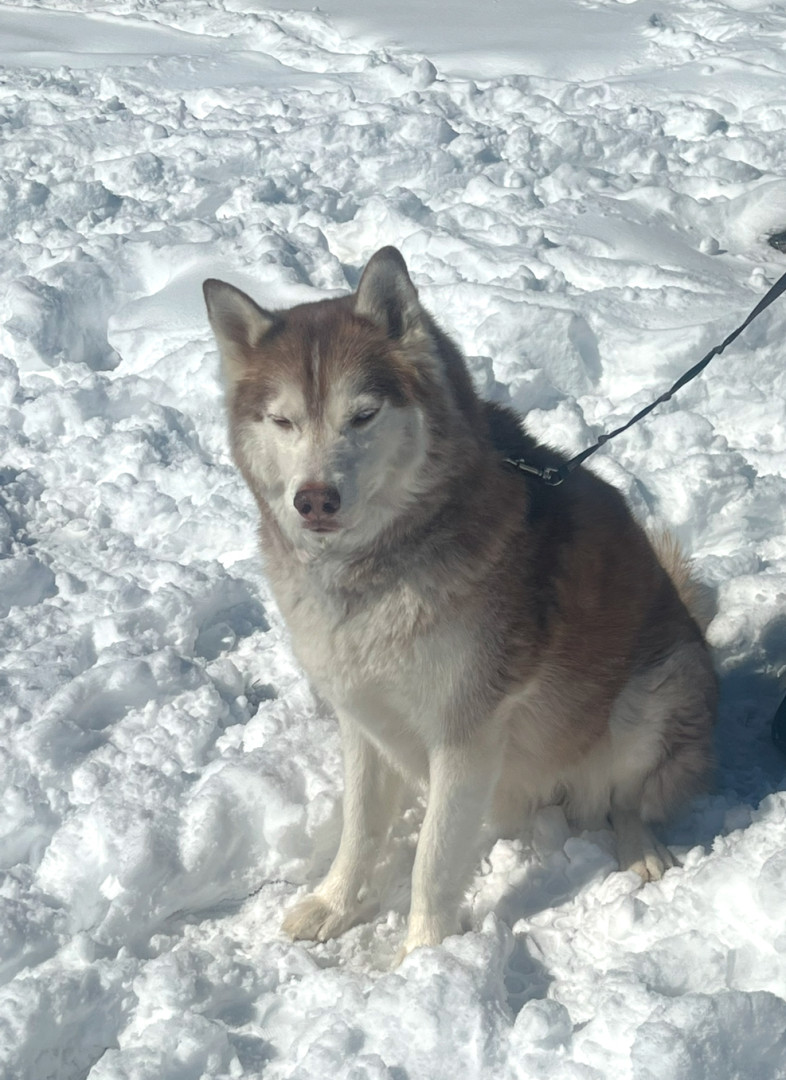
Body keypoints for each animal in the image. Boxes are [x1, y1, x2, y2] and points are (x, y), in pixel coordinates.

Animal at [203, 246, 717, 961]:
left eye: (362, 414)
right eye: (283, 421)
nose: (314, 499)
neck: (380, 568)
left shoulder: (466, 731)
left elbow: (434, 857)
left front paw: (423, 957)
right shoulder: (361, 717)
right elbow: (360, 829)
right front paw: (335, 904)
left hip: (657, 692)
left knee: (626, 798)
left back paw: (639, 849)